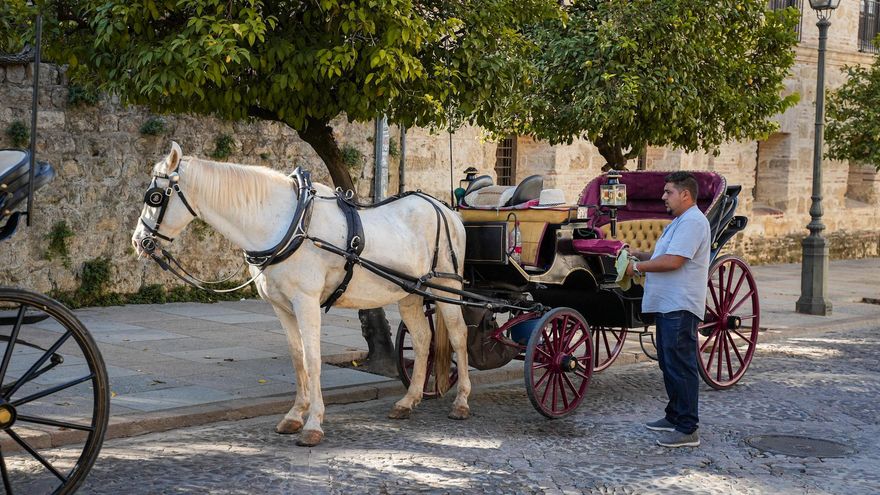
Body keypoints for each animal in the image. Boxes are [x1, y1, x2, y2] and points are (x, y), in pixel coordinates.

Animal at [131, 142, 471, 447]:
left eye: (155, 197)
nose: (138, 241)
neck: (289, 225)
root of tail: (445, 209)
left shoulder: (306, 302)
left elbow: (313, 358)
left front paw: (313, 424)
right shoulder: (282, 306)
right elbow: (297, 358)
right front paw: (295, 415)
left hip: (447, 287)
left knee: (458, 336)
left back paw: (462, 402)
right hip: (409, 294)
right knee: (424, 339)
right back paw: (408, 400)